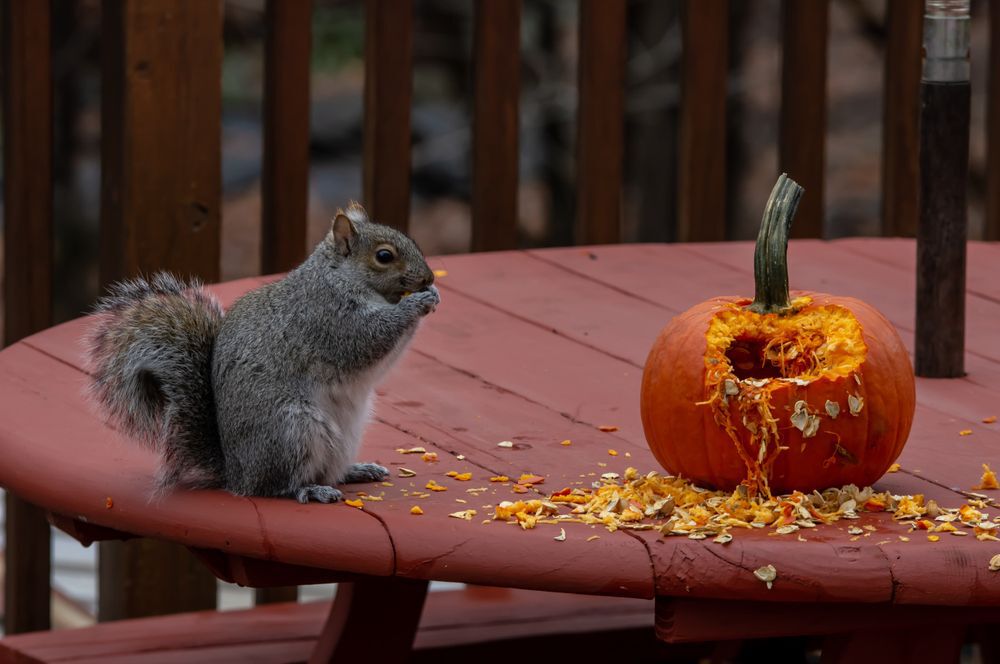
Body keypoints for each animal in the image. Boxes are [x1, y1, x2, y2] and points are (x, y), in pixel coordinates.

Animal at [86, 203, 439, 503]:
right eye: (384, 256)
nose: (429, 277)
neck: (337, 277)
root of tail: (237, 474)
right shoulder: (329, 318)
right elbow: (369, 339)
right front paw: (415, 303)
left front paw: (431, 294)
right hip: (293, 430)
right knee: (277, 486)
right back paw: (311, 490)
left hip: (343, 435)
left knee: (326, 471)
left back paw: (356, 470)